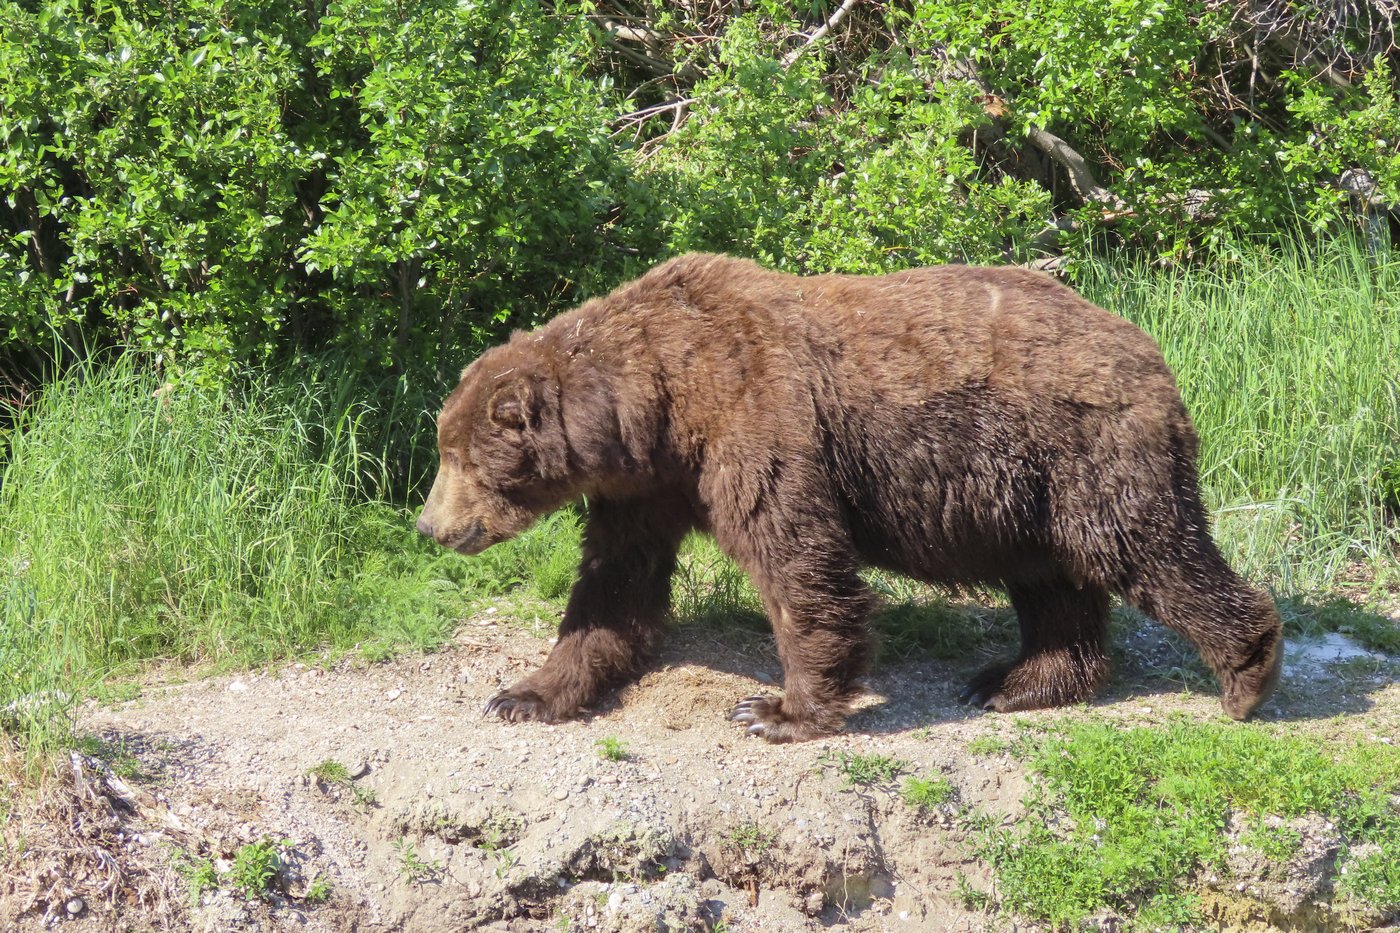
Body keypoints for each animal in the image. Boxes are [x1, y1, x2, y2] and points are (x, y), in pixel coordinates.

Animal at [416, 253, 1283, 743]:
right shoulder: (647, 485)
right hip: (1026, 492)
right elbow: (612, 587)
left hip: (1084, 453)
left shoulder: (755, 423)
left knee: (1149, 547)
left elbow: (796, 559)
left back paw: (1246, 670)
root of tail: (1151, 350)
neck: (659, 402)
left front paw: (773, 711)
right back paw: (1014, 681)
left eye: (460, 457)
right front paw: (524, 693)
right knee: (1054, 585)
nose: (430, 525)